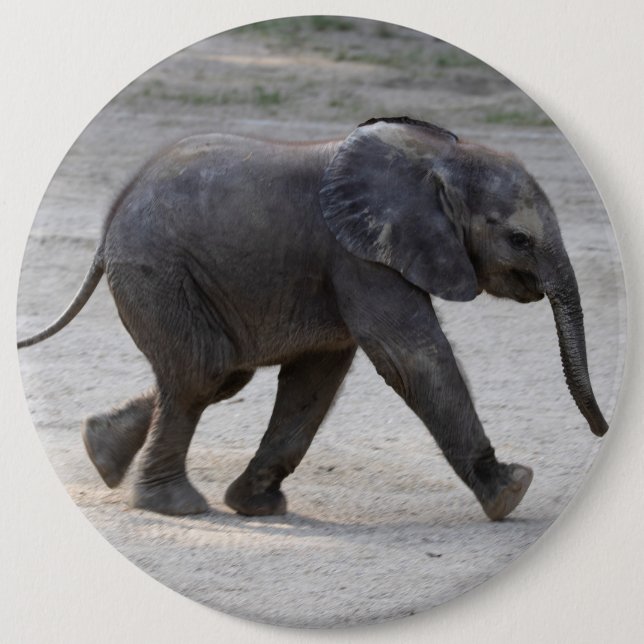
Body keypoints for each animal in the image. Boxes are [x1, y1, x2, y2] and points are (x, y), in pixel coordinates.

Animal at [18, 116, 608, 521]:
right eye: (519, 239)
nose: (601, 431)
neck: (439, 160)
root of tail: (109, 224)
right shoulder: (359, 256)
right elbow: (410, 357)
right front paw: (511, 491)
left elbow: (317, 377)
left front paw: (256, 504)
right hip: (157, 269)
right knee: (204, 371)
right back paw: (175, 506)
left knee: (218, 374)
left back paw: (100, 452)